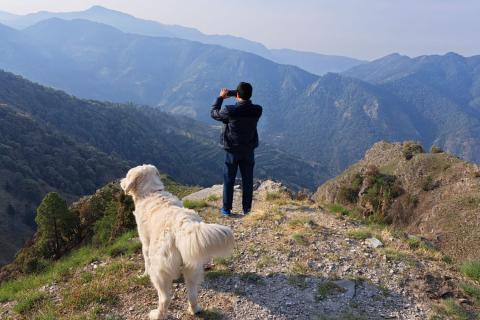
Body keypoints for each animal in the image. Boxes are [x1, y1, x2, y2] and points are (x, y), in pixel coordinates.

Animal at [121, 165, 235, 320]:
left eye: (127, 176)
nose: (121, 182)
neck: (151, 192)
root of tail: (182, 224)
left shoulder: (145, 243)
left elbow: (146, 262)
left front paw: (143, 275)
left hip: (159, 271)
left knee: (165, 298)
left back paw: (157, 314)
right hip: (192, 266)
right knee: (192, 294)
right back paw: (195, 309)